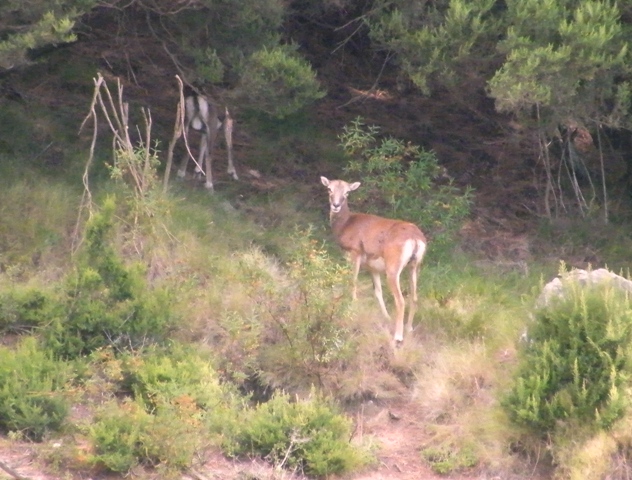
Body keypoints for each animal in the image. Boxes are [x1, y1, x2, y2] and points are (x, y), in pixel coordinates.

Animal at [320, 176, 424, 344]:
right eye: (329, 189)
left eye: (347, 192)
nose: (335, 205)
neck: (345, 225)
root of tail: (415, 239)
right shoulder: (373, 267)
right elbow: (377, 292)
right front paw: (386, 317)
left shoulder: (354, 252)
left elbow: (353, 281)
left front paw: (353, 304)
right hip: (415, 265)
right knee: (414, 297)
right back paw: (409, 328)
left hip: (393, 267)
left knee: (400, 300)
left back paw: (398, 336)